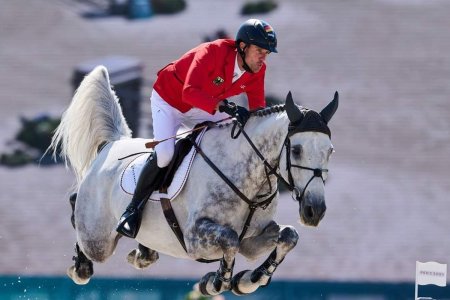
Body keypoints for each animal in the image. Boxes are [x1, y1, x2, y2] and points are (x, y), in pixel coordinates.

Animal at [50, 65, 338, 296]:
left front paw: (249, 280)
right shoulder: (195, 238)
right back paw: (81, 267)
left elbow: (289, 235)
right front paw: (216, 282)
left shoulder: (253, 241)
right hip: (97, 239)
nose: (314, 211)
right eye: (297, 150)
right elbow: (230, 239)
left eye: (330, 151)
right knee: (80, 216)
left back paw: (143, 254)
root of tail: (113, 144)